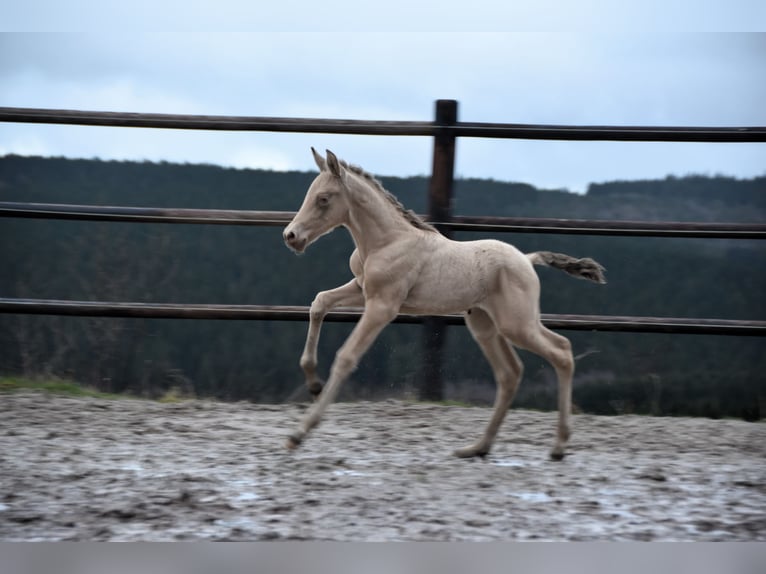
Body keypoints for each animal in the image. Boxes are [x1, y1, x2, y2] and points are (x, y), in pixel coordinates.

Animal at [282, 150, 608, 464]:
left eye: (324, 199)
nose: (291, 236)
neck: (387, 241)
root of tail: (527, 259)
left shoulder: (383, 306)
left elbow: (346, 357)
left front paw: (300, 433)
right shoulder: (361, 290)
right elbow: (320, 302)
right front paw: (313, 383)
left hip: (517, 324)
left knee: (561, 351)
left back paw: (558, 446)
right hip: (485, 325)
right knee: (510, 373)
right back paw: (478, 448)